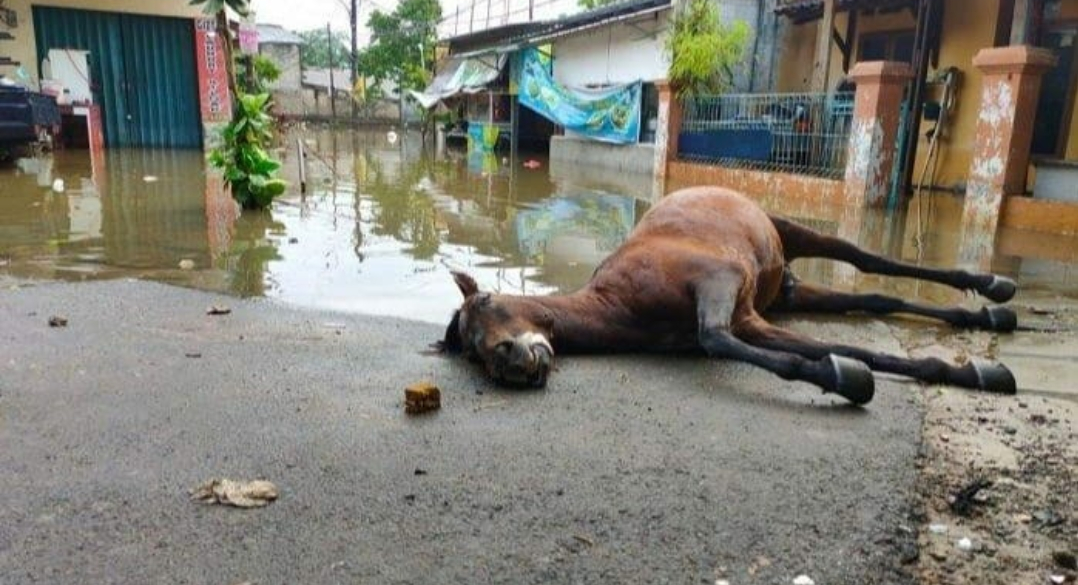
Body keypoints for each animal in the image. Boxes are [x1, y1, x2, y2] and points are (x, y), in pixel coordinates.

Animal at [439, 185, 1017, 405]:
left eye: (485, 302)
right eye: (470, 351)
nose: (509, 361)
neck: (622, 302)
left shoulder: (719, 284)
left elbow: (715, 338)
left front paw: (844, 378)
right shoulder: (749, 319)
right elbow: (836, 348)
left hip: (790, 229)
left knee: (867, 261)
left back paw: (994, 286)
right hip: (788, 294)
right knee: (878, 299)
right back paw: (989, 318)